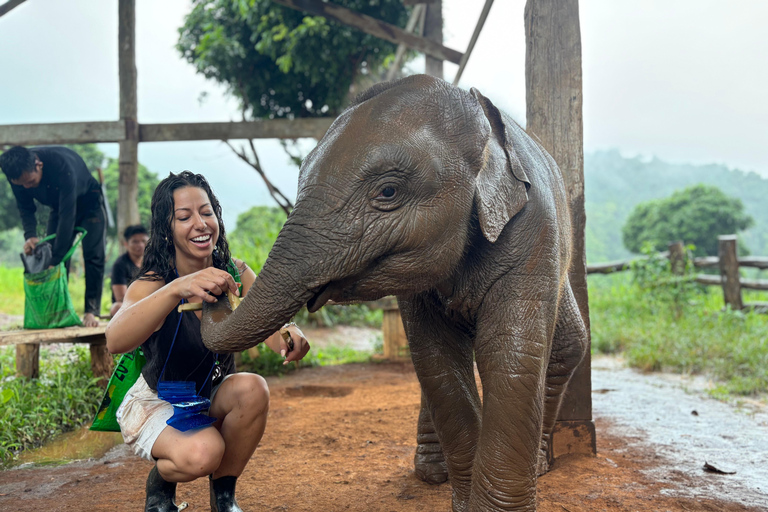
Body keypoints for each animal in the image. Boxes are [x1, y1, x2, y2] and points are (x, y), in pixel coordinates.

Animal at [200, 73, 588, 512]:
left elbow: (512, 356)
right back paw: (433, 473)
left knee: (568, 345)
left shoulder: (534, 230)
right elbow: (437, 359)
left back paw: (540, 465)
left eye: (388, 192)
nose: (222, 277)